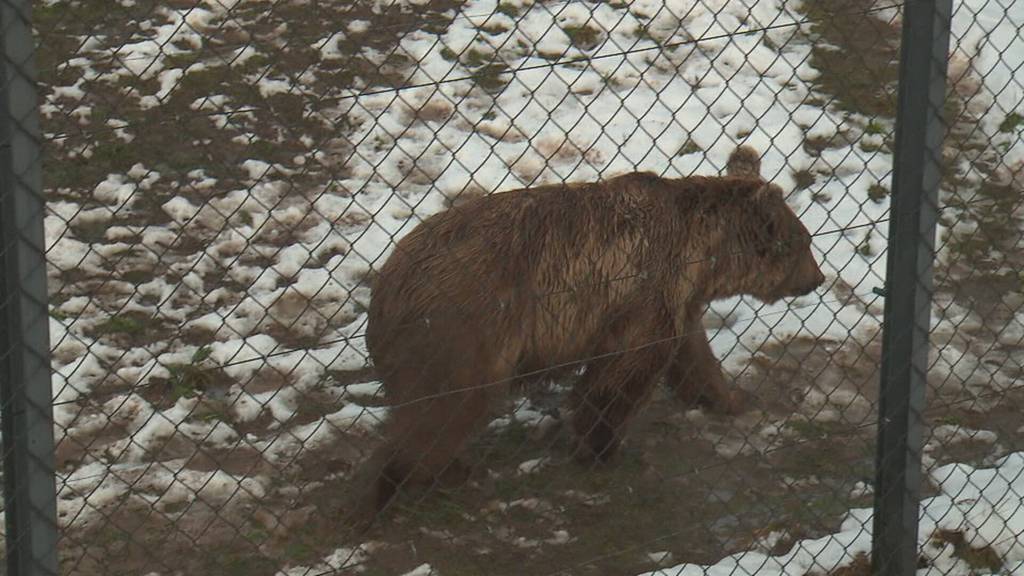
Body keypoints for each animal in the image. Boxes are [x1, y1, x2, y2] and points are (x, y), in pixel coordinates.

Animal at [354, 146, 823, 516]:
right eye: (804, 241)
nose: (816, 279)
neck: (701, 257)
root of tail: (387, 283)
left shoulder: (675, 300)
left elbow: (693, 356)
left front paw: (729, 398)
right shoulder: (641, 293)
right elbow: (622, 375)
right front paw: (600, 448)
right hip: (464, 328)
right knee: (442, 410)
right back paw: (412, 480)